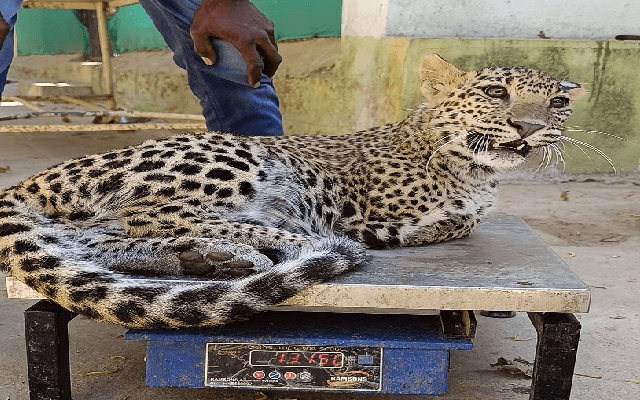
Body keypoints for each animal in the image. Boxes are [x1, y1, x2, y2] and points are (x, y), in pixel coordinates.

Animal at [0, 54, 586, 329]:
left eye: (557, 103)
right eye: (495, 92)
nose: (530, 128)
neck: (474, 170)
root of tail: (31, 180)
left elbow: (469, 216)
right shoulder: (366, 211)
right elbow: (452, 219)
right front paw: (417, 230)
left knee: (100, 237)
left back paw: (206, 259)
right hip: (235, 158)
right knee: (149, 216)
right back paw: (271, 243)